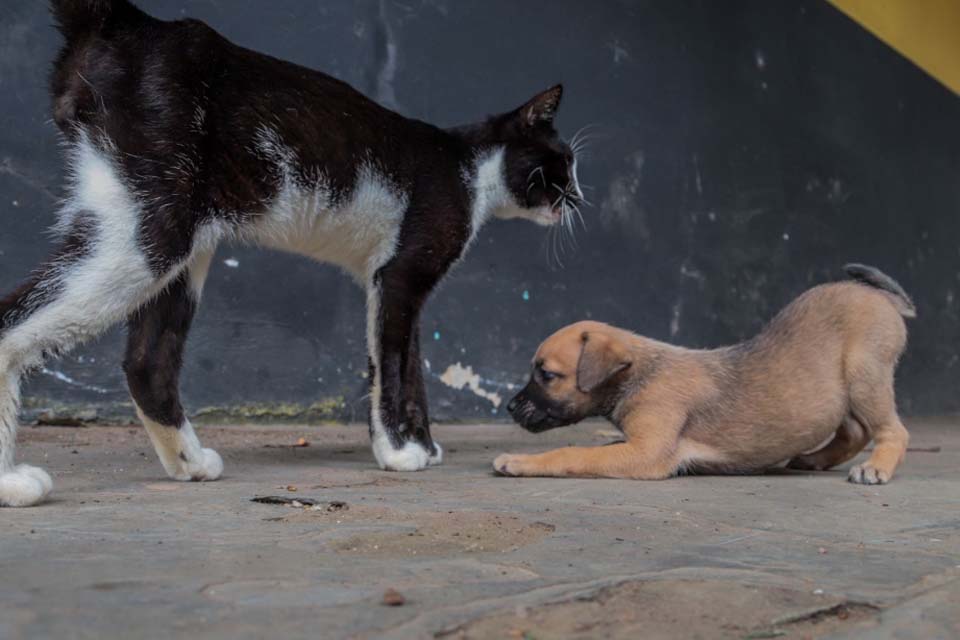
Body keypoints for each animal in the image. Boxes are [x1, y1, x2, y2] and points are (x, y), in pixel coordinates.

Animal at [0, 1, 584, 510]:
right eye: (561, 162)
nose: (579, 197)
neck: (470, 168)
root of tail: (130, 20)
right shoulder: (398, 276)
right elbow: (391, 368)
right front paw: (398, 452)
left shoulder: (399, 286)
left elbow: (412, 363)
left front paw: (424, 444)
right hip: (150, 232)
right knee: (14, 322)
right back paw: (12, 483)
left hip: (184, 241)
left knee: (147, 363)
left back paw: (191, 465)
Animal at [498, 264, 920, 484]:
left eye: (546, 374)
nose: (509, 408)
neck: (641, 374)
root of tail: (880, 295)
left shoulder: (646, 454)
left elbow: (574, 453)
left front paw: (519, 462)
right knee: (854, 431)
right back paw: (815, 460)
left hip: (864, 375)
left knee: (892, 431)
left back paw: (876, 468)